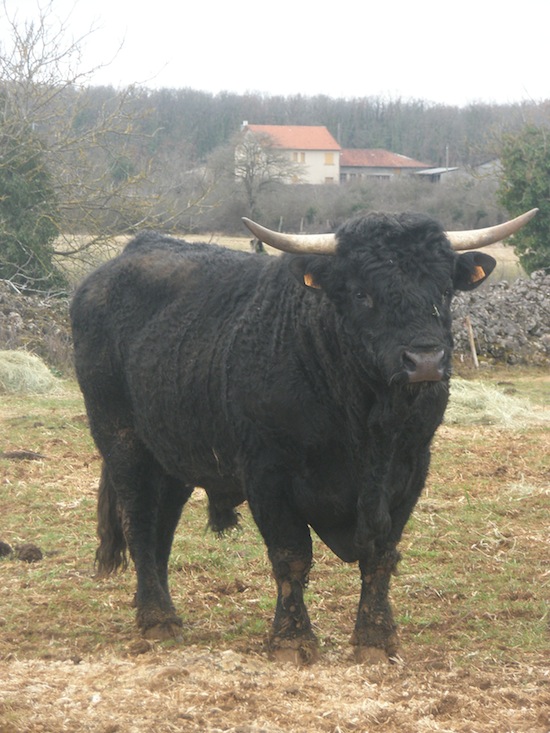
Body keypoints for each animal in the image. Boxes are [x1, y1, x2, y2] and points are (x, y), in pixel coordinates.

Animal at [70, 208, 536, 664]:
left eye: (443, 290)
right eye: (362, 293)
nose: (424, 360)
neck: (367, 428)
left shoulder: (410, 468)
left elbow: (381, 554)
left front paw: (375, 637)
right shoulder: (267, 473)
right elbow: (291, 556)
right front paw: (292, 640)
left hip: (171, 456)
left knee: (161, 529)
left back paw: (161, 610)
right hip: (121, 440)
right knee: (139, 523)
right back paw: (157, 619)